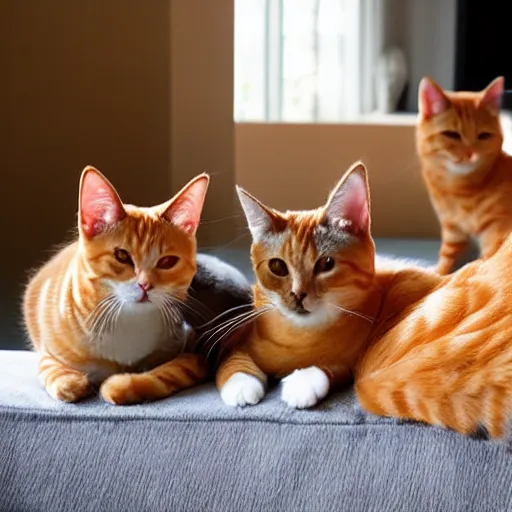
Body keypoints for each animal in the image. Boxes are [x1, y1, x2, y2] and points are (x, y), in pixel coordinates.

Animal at [215, 161, 380, 408]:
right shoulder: (235, 345)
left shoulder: (349, 360)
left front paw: (303, 382)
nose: (298, 294)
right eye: (277, 266)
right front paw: (241, 385)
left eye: (326, 263)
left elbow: (333, 365)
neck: (300, 336)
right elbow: (233, 361)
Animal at [416, 75, 512, 274]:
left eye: (484, 136)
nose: (471, 154)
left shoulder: (498, 231)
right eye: (452, 134)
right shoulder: (453, 232)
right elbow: (445, 264)